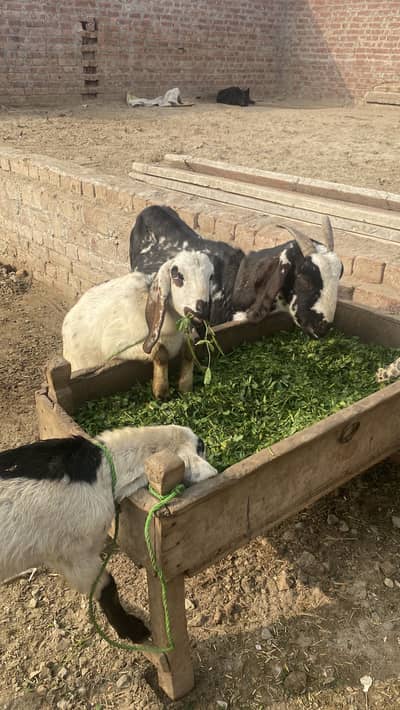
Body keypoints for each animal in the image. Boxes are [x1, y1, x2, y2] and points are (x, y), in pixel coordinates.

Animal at [62, 250, 214, 398]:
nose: (202, 309)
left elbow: (189, 352)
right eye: (177, 275)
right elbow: (161, 353)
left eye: (210, 277)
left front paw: (185, 387)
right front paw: (161, 392)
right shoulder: (119, 348)